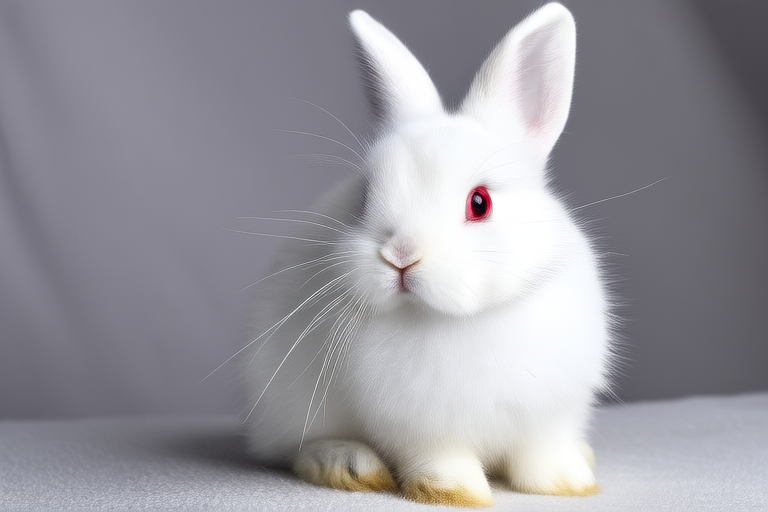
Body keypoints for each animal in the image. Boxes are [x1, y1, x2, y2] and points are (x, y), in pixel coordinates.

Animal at [241, 3, 613, 507]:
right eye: (364, 198)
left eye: (480, 202)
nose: (401, 254)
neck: (465, 321)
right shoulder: (423, 432)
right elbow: (441, 462)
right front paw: (456, 494)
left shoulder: (548, 418)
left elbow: (544, 456)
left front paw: (570, 484)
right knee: (296, 450)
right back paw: (349, 466)